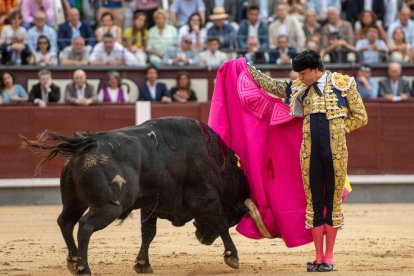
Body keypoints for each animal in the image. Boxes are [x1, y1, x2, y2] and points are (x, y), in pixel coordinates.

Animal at [22, 117, 268, 276]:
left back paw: (73, 261)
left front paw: (142, 264)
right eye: (234, 217)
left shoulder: (151, 206)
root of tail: (89, 142)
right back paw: (84, 267)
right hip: (109, 206)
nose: (202, 239)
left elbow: (148, 233)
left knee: (65, 221)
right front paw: (232, 256)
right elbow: (220, 223)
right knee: (85, 225)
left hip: (74, 200)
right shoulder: (206, 199)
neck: (217, 162)